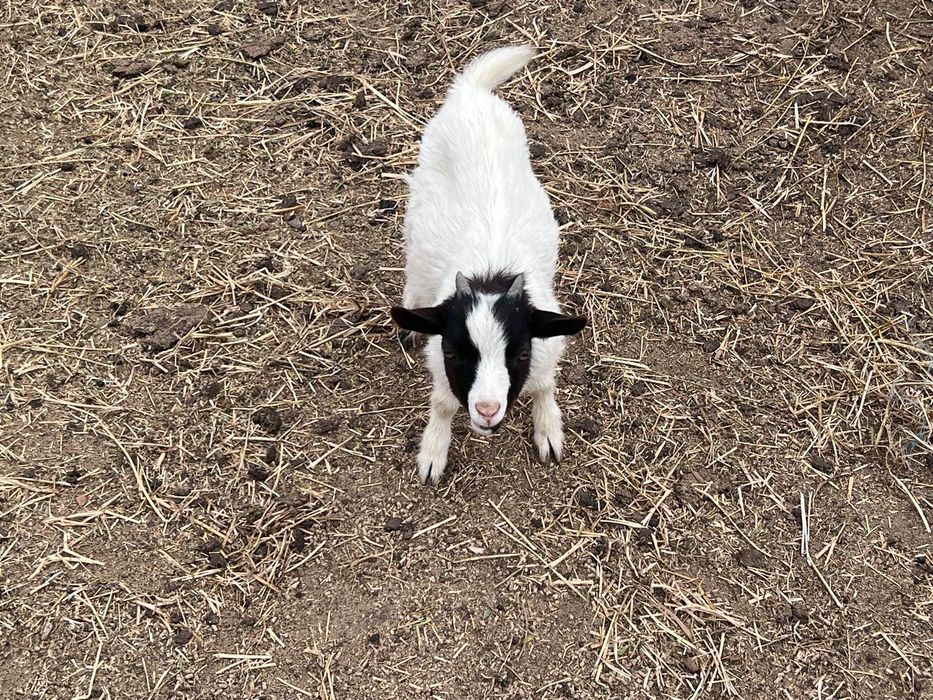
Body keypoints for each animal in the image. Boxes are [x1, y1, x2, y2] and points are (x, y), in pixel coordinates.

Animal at [391, 45, 587, 485]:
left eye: (520, 353)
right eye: (453, 351)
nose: (486, 410)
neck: (492, 276)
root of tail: (471, 93)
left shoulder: (547, 345)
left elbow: (544, 385)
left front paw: (549, 430)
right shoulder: (440, 365)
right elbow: (443, 403)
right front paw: (433, 452)